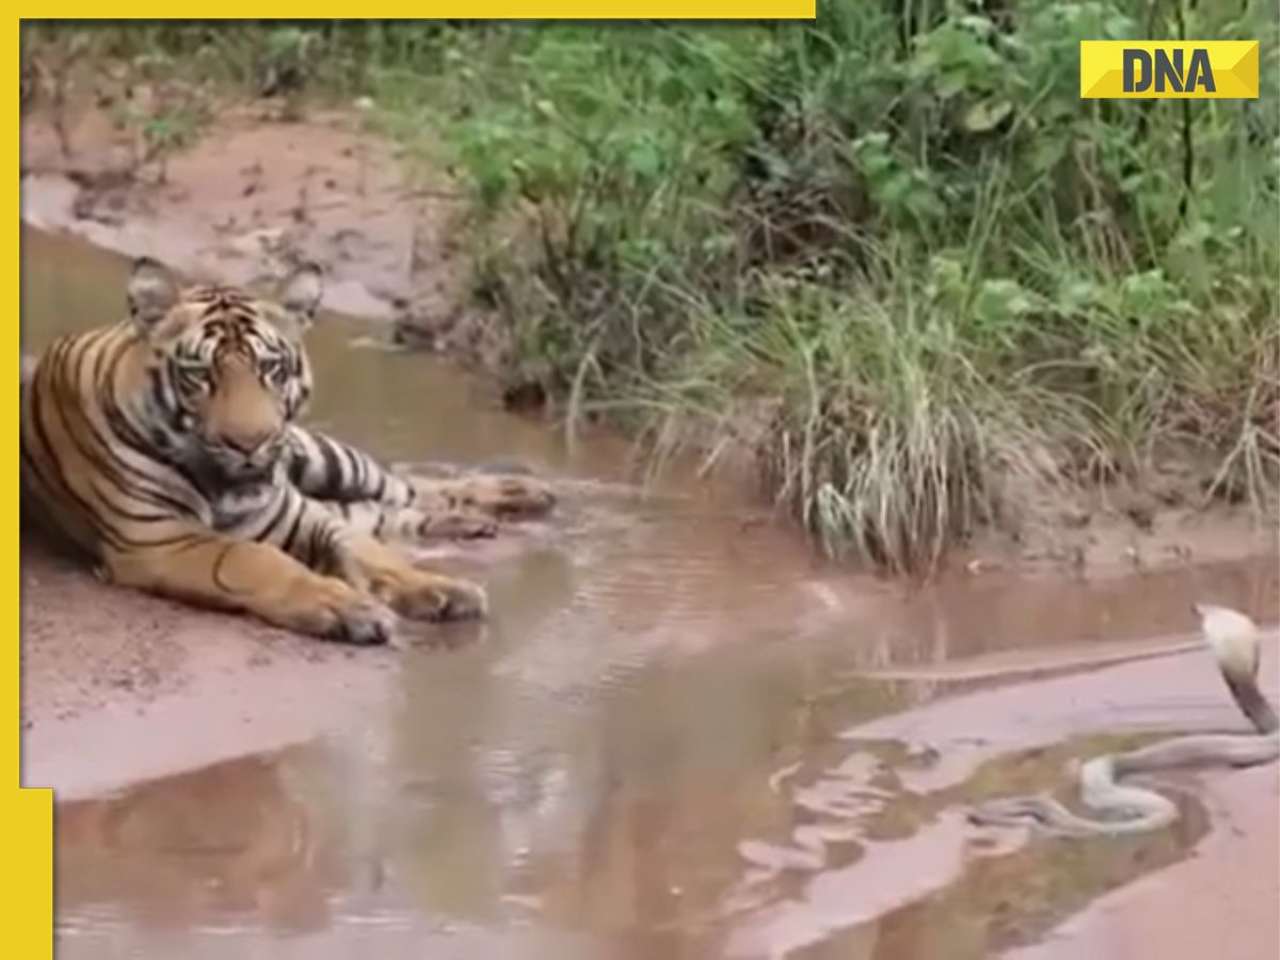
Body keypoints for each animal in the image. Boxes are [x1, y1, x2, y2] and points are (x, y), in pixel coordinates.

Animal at [20, 256, 558, 647]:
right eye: (200, 375)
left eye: (270, 369)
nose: (250, 442)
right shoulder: (158, 538)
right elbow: (257, 560)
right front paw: (347, 607)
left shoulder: (300, 516)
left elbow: (371, 553)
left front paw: (439, 588)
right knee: (388, 509)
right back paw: (476, 520)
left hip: (325, 458)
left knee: (402, 486)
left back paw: (520, 493)